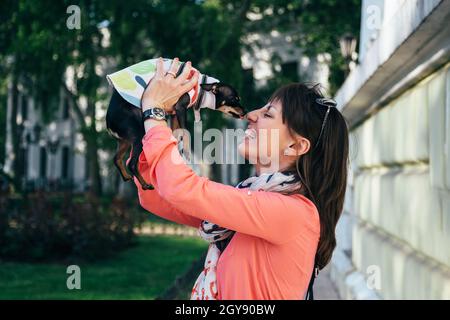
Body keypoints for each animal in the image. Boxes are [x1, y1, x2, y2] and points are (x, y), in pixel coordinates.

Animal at [105, 65, 246, 190]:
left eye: (239, 98)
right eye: (234, 99)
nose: (245, 112)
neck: (202, 89)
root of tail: (108, 121)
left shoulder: (174, 114)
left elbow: (176, 132)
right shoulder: (180, 108)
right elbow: (186, 131)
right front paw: (187, 151)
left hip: (125, 141)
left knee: (117, 159)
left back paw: (126, 177)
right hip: (139, 136)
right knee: (132, 164)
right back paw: (145, 185)